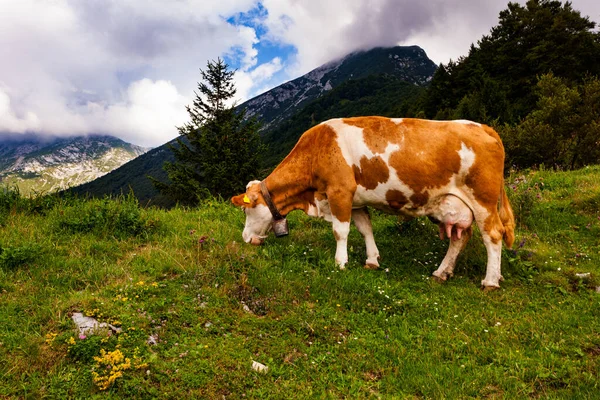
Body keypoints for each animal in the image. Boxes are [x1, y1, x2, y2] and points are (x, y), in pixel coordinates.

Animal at [232, 117, 512, 290]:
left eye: (246, 209)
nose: (245, 238)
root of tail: (484, 127)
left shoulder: (340, 192)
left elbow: (340, 231)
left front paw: (340, 263)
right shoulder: (355, 200)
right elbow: (365, 228)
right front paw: (372, 260)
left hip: (483, 200)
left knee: (493, 235)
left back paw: (490, 281)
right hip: (455, 204)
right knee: (459, 238)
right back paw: (442, 272)